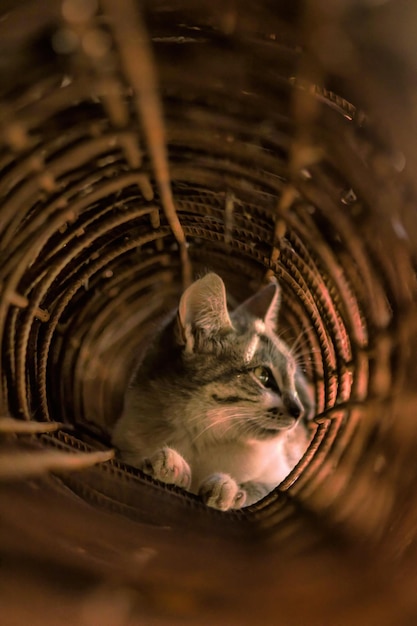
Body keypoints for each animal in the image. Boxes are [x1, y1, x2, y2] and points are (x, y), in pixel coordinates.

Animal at [110, 272, 312, 508]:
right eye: (263, 375)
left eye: (292, 378)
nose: (300, 412)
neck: (202, 438)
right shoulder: (124, 446)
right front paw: (169, 467)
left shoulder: (282, 475)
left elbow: (261, 488)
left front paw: (228, 490)